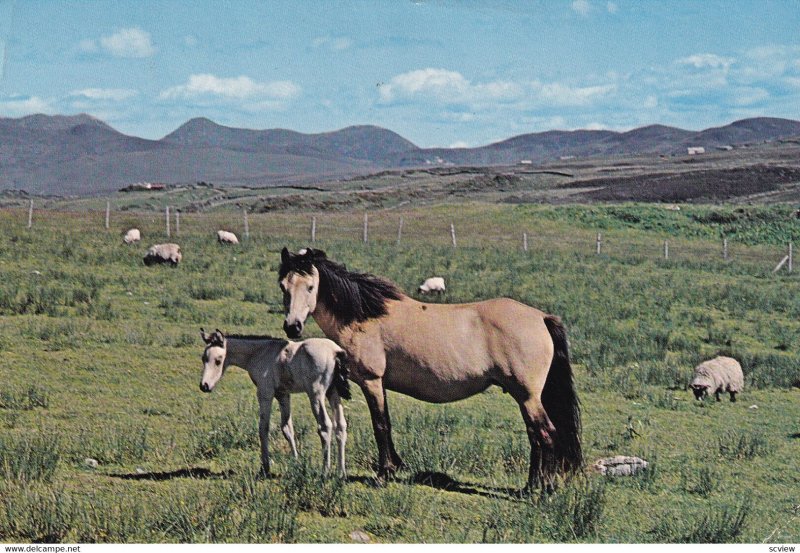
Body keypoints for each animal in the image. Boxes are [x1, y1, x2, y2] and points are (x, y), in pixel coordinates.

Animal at [198, 328, 348, 474]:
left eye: (218, 360)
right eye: (203, 358)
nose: (204, 386)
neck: (259, 353)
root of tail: (335, 351)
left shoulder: (265, 393)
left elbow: (263, 428)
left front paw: (265, 466)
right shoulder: (283, 395)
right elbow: (287, 428)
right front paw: (295, 461)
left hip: (316, 395)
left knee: (325, 426)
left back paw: (325, 471)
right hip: (333, 393)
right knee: (340, 426)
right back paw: (341, 472)